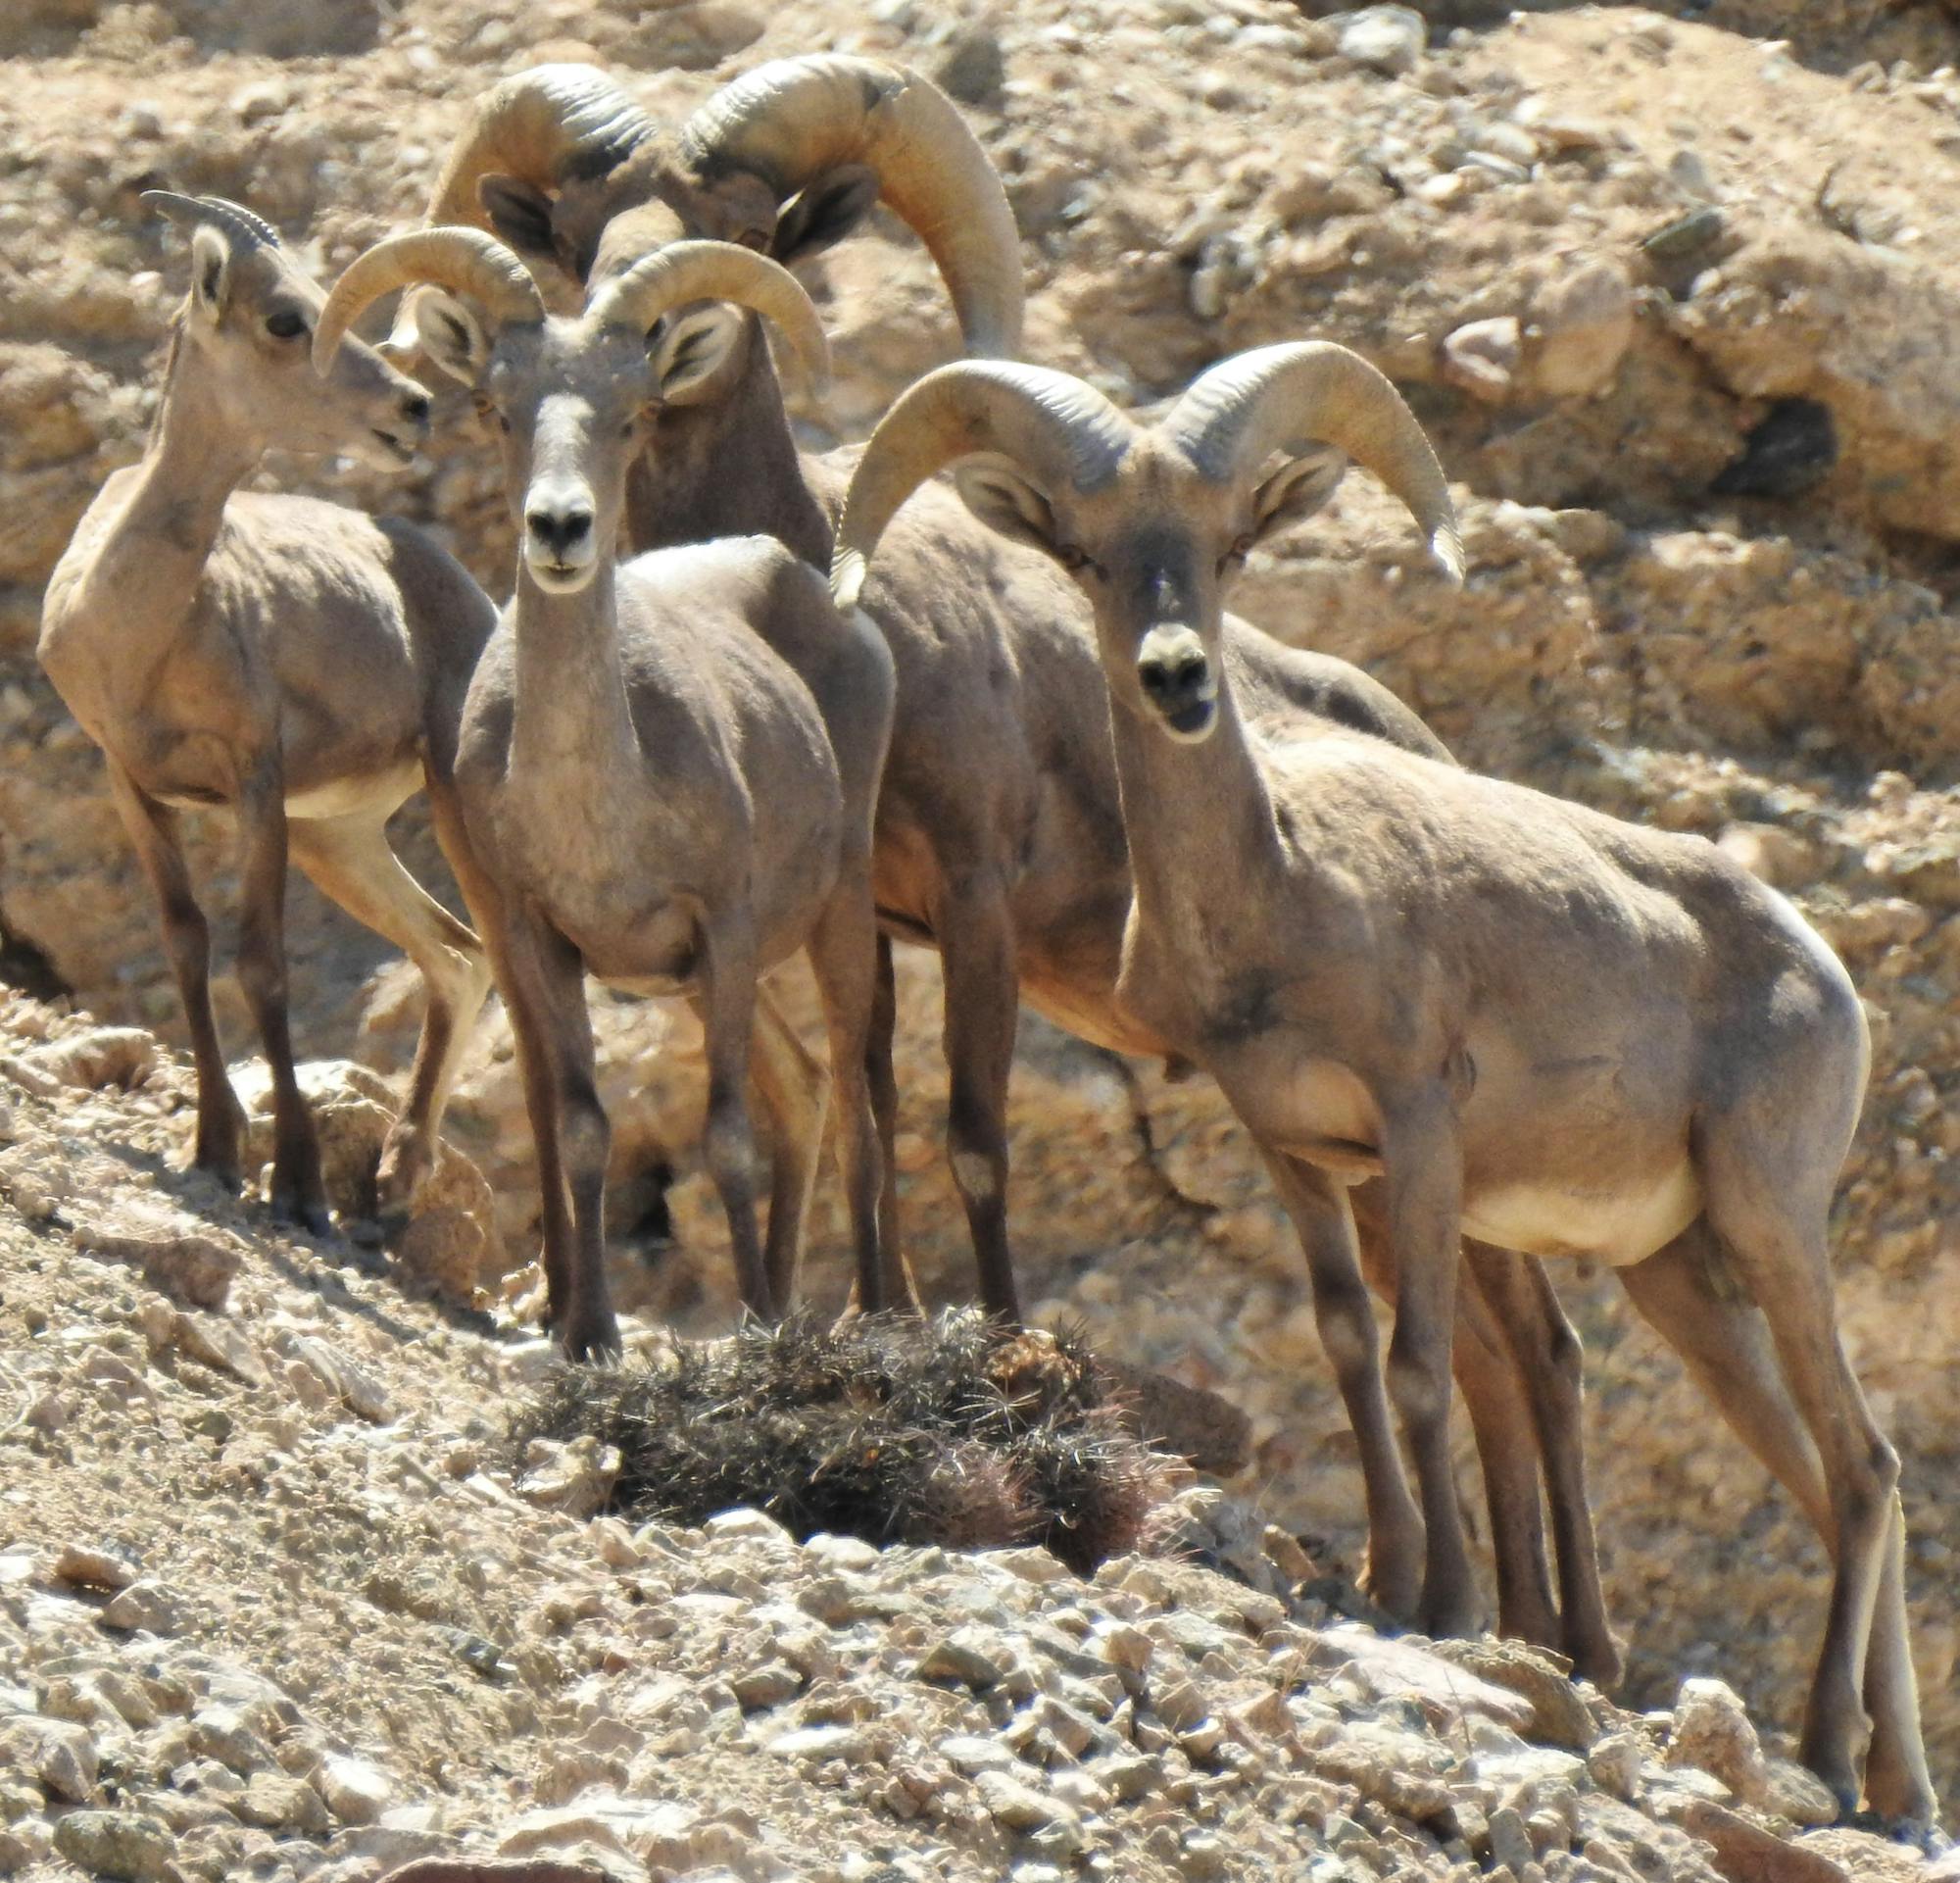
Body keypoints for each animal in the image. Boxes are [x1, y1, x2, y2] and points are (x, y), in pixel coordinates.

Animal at [40, 198, 498, 1239]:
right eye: (287, 319)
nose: (412, 408)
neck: (137, 624)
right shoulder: (134, 784)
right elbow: (187, 942)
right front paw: (214, 1148)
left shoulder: (256, 781)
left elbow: (262, 963)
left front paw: (295, 1185)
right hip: (342, 838)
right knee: (455, 954)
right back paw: (394, 1182)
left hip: (452, 804)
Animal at [318, 235, 898, 1357]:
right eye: (497, 405)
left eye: (634, 411)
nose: (559, 526)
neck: (596, 815)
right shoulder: (544, 940)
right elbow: (583, 1124)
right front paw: (588, 1332)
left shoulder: (721, 929)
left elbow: (725, 1136)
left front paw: (754, 1333)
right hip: (721, 979)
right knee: (805, 1088)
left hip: (836, 914)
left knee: (854, 1095)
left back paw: (866, 1315)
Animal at [402, 55, 1623, 1678]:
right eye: (581, 234)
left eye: (750, 225)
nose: (665, 334)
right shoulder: (863, 921)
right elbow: (869, 1113)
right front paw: (877, 1319)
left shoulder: (972, 907)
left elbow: (969, 1136)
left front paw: (990, 1344)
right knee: (1488, 1354)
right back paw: (1504, 1618)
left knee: (1537, 1352)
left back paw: (1574, 1646)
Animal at [835, 341, 1936, 1819]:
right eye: (1087, 553)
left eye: (1228, 546)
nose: (1177, 678)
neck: (1283, 889)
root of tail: (1820, 968)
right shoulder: (1300, 1154)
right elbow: (1352, 1346)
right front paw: (1387, 1578)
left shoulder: (1418, 1139)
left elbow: (1420, 1371)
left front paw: (1450, 1607)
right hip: (1681, 1279)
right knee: (1830, 1472)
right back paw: (1895, 1783)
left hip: (1770, 1221)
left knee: (1865, 1466)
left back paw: (1826, 1755)